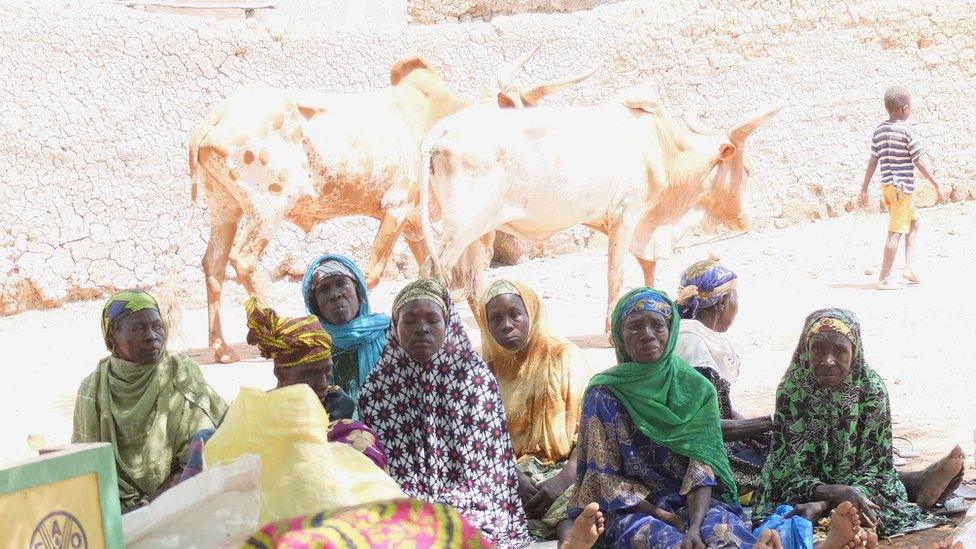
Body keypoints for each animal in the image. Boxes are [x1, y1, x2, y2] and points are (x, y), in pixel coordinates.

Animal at [418, 81, 776, 328]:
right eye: (747, 169)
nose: (747, 218)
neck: (662, 148)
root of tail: (441, 131)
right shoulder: (627, 216)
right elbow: (616, 274)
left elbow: (648, 266)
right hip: (461, 226)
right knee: (434, 272)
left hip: (479, 231)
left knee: (473, 287)